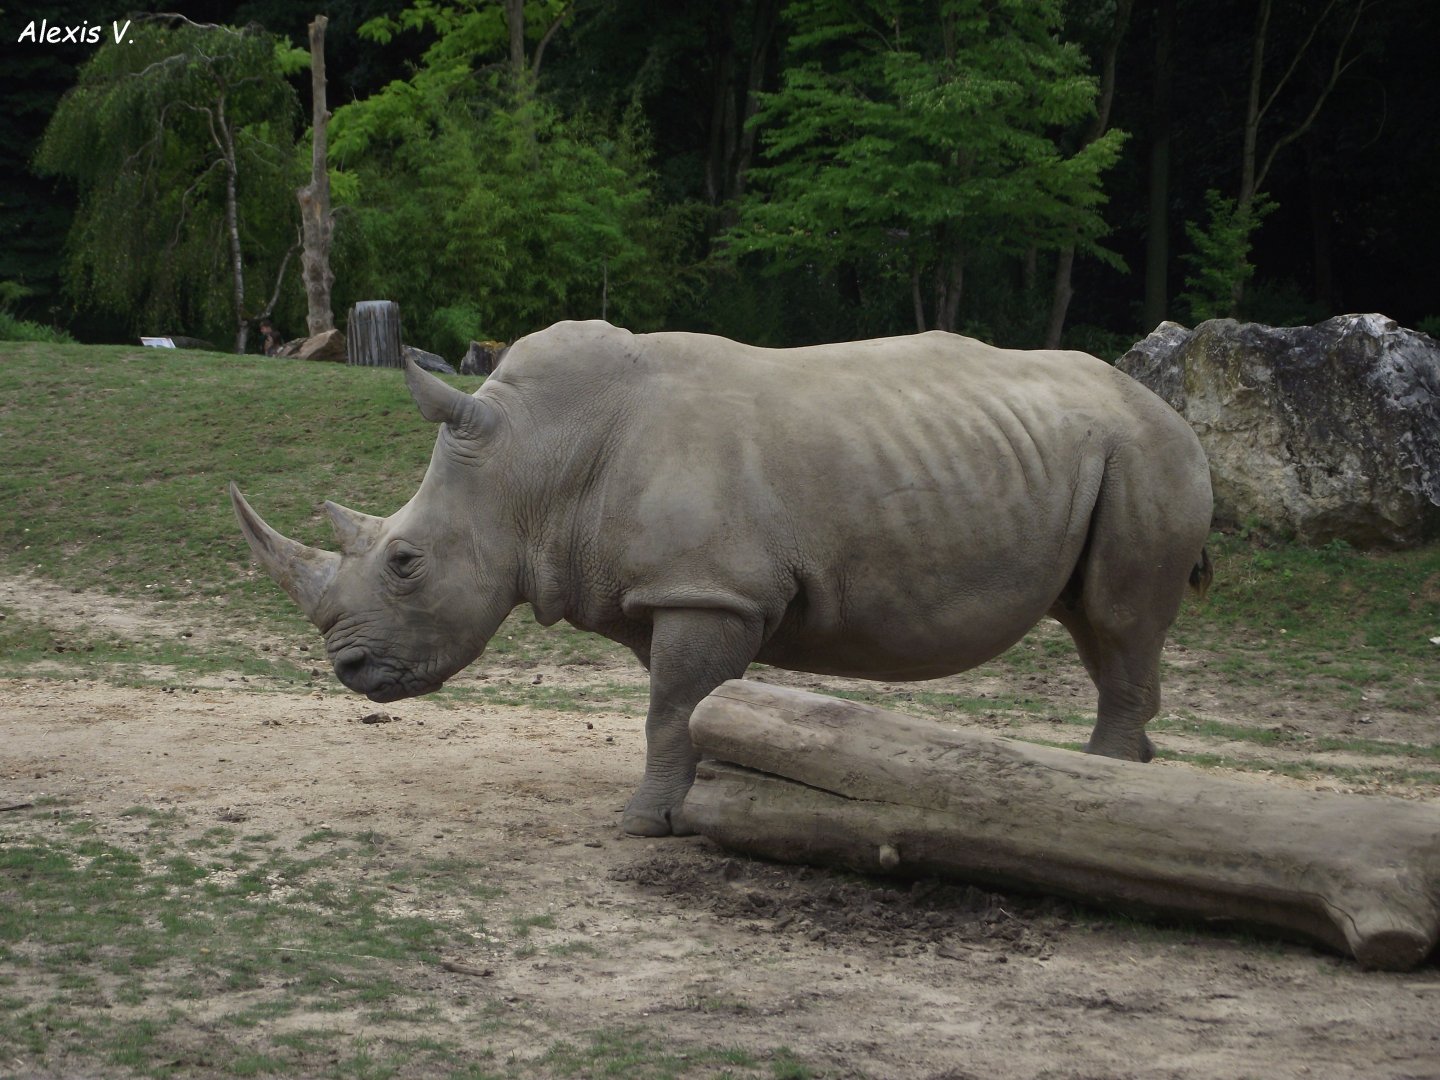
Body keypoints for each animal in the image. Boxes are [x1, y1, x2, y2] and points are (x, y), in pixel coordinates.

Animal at [231, 320, 1212, 836]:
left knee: (1118, 622)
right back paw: (1130, 779)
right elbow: (689, 705)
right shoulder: (682, 588)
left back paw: (1106, 794)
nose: (349, 671)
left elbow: (672, 706)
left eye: (405, 562)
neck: (533, 462)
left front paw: (639, 825)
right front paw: (696, 802)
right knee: (1095, 625)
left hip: (1147, 453)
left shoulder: (709, 589)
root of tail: (1177, 413)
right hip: (1103, 456)